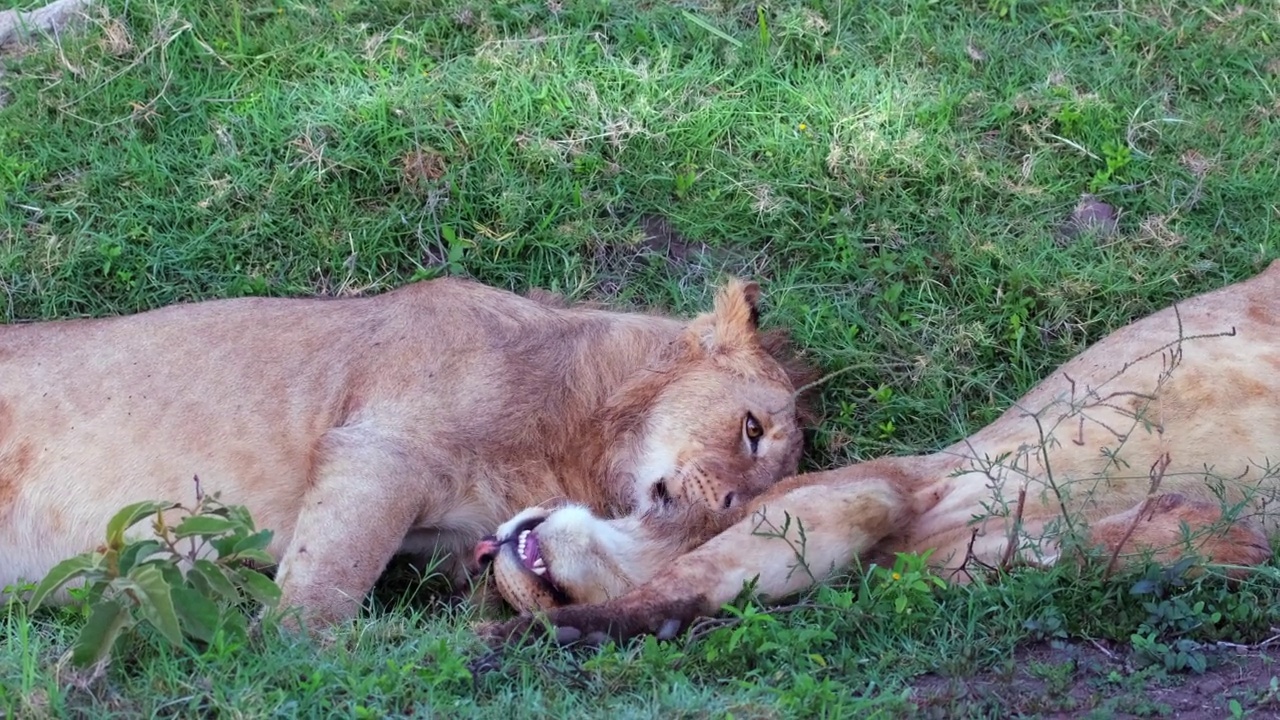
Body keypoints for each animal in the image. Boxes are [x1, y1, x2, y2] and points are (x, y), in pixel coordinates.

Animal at [0, 272, 814, 622]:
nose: (732, 499)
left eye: (756, 496)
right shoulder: (378, 448)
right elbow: (329, 582)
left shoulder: (453, 539)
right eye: (751, 430)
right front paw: (292, 667)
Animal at [481, 260, 1280, 640]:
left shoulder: (865, 487)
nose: (489, 554)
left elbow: (685, 577)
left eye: (755, 435)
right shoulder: (965, 548)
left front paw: (534, 636)